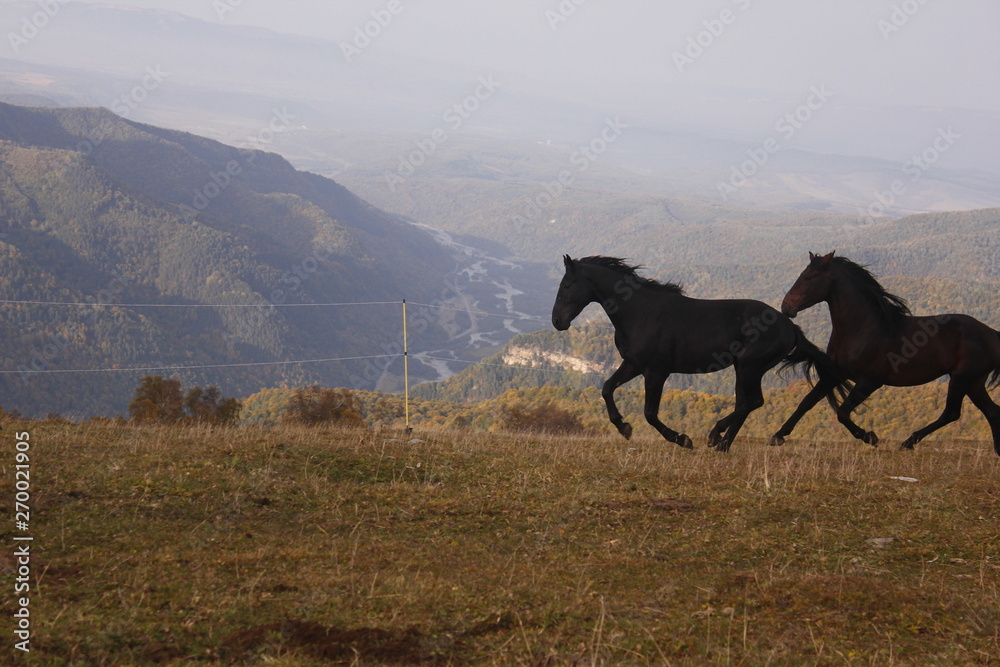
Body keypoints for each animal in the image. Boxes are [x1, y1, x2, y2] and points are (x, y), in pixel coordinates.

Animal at [551, 255, 849, 451]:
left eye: (566, 285)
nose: (557, 321)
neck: (639, 312)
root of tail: (790, 327)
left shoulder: (656, 372)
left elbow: (650, 413)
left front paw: (682, 439)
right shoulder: (634, 365)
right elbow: (606, 388)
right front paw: (624, 427)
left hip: (750, 367)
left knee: (752, 402)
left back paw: (715, 436)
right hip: (742, 369)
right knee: (745, 403)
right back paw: (722, 444)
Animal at [771, 251, 1000, 455]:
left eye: (808, 277)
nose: (786, 307)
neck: (862, 329)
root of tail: (992, 334)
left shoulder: (870, 381)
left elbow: (843, 413)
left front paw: (871, 437)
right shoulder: (834, 374)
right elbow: (807, 402)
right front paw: (778, 436)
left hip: (962, 378)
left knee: (951, 413)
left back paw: (908, 442)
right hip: (974, 382)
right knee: (991, 411)